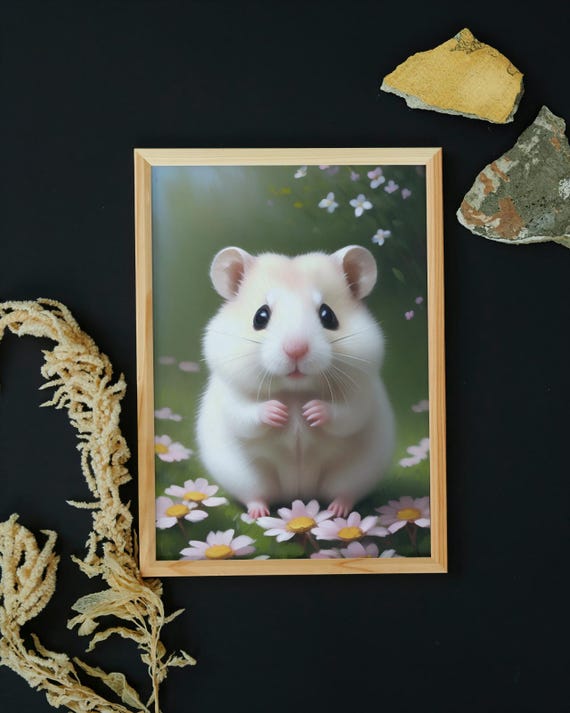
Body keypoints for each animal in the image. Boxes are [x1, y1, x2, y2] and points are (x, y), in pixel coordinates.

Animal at [196, 245, 395, 519]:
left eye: (328, 315)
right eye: (260, 316)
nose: (296, 350)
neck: (295, 392)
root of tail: (298, 494)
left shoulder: (361, 393)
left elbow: (346, 415)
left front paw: (311, 411)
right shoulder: (231, 394)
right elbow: (246, 414)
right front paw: (279, 412)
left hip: (352, 474)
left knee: (346, 493)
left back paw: (338, 510)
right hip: (246, 477)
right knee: (253, 495)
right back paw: (259, 512)